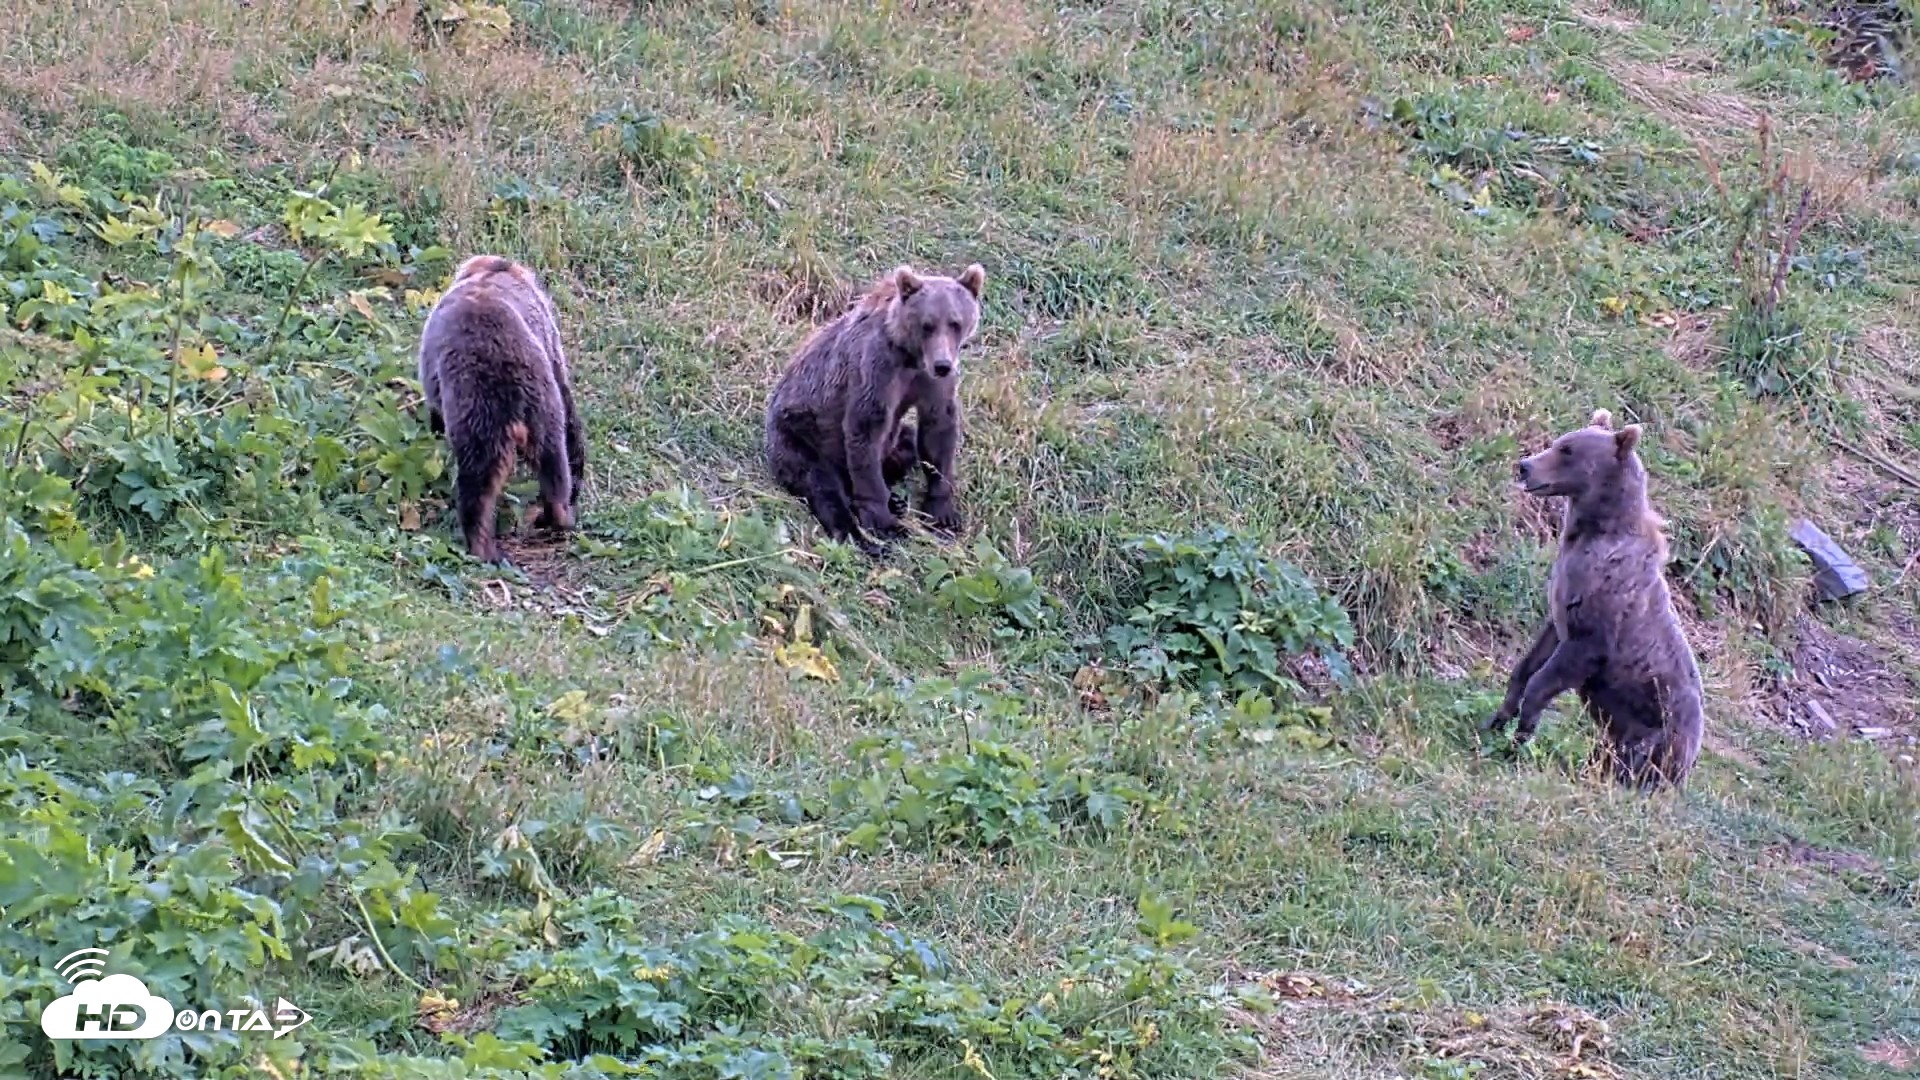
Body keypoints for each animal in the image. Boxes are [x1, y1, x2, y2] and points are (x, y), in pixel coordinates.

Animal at [417, 254, 587, 564]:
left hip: (480, 418)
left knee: (478, 488)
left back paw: (480, 547)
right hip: (542, 413)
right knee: (554, 466)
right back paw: (555, 517)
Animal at [765, 262, 986, 551]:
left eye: (955, 323)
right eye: (927, 325)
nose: (942, 365)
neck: (911, 356)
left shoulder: (930, 384)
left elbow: (937, 429)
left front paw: (943, 512)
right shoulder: (876, 369)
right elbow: (866, 428)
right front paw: (885, 523)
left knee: (907, 444)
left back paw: (896, 500)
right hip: (796, 432)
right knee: (820, 481)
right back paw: (858, 533)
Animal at [1481, 408, 1705, 790]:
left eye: (1567, 451)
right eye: (1559, 441)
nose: (1524, 465)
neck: (1592, 534)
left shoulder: (1600, 623)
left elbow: (1552, 676)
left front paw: (1520, 737)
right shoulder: (1563, 601)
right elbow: (1532, 659)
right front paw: (1498, 719)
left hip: (1660, 728)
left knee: (1641, 759)